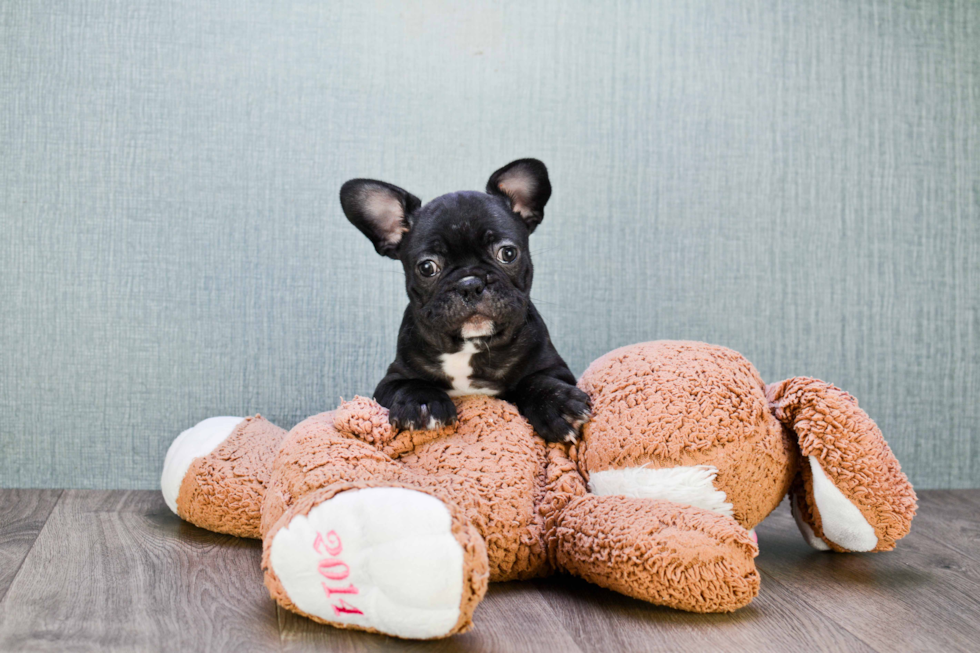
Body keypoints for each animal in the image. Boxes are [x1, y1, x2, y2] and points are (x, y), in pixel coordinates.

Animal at [340, 159, 592, 444]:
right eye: (427, 267)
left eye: (508, 253)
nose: (470, 284)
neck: (469, 346)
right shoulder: (390, 380)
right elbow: (408, 384)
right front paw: (423, 402)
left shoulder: (555, 368)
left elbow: (533, 381)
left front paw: (556, 405)